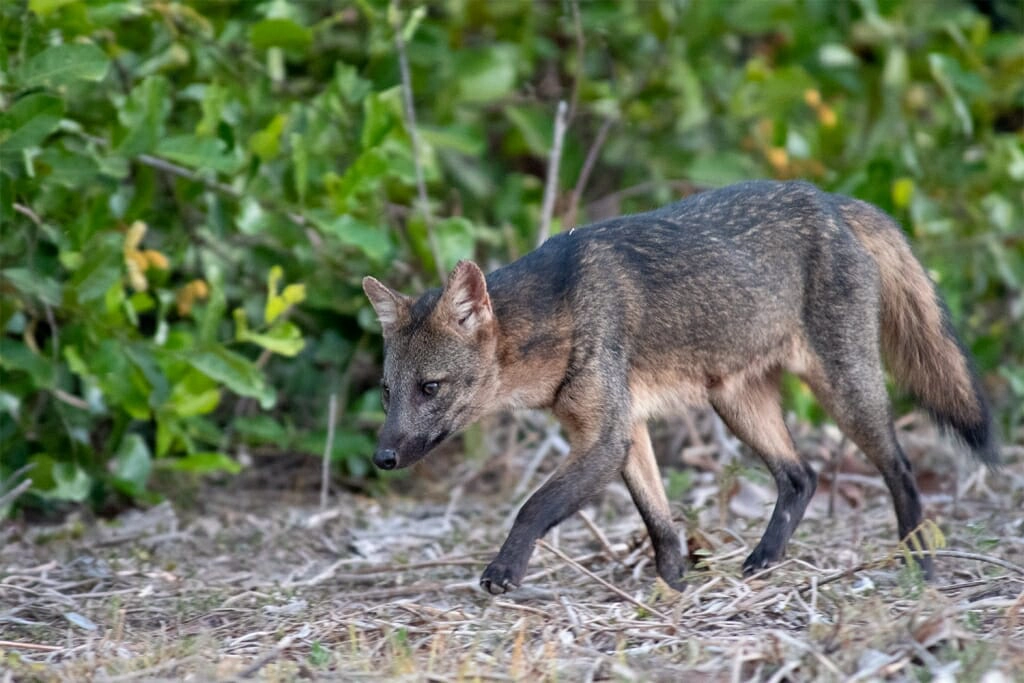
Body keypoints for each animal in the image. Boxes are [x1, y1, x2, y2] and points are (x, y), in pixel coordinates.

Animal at [362, 180, 997, 595]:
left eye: (430, 388)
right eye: (389, 393)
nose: (382, 457)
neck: (563, 312)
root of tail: (831, 199)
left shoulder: (603, 439)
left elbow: (533, 507)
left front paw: (504, 572)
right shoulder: (624, 432)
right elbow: (660, 524)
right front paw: (673, 589)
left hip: (844, 392)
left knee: (901, 468)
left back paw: (922, 564)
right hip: (737, 404)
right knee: (802, 476)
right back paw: (764, 561)